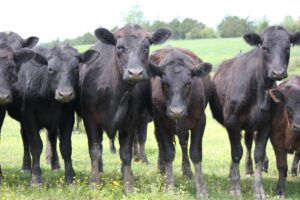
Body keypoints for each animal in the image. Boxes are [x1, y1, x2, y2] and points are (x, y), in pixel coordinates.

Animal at [6, 45, 97, 186]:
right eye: (50, 69)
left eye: (76, 68)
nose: (65, 94)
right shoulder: (29, 118)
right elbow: (36, 146)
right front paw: (36, 178)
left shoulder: (67, 118)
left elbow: (65, 147)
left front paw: (70, 178)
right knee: (25, 139)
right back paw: (26, 167)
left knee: (52, 139)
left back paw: (55, 164)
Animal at [79, 24, 171, 193]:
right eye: (120, 47)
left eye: (146, 47)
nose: (135, 73)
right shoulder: (90, 120)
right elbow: (95, 151)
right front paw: (94, 182)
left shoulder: (131, 120)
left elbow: (126, 153)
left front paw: (128, 184)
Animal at [149, 46, 212, 197]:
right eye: (164, 84)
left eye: (188, 84)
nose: (176, 111)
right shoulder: (160, 120)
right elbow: (168, 152)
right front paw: (169, 186)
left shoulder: (200, 120)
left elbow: (195, 153)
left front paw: (201, 188)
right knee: (160, 142)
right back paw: (161, 169)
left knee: (184, 143)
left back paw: (187, 170)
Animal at [210, 26, 300, 198]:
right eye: (264, 47)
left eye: (287, 47)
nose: (278, 72)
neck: (257, 86)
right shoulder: (232, 122)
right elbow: (236, 152)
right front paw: (235, 188)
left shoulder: (265, 124)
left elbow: (258, 154)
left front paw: (259, 190)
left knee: (248, 143)